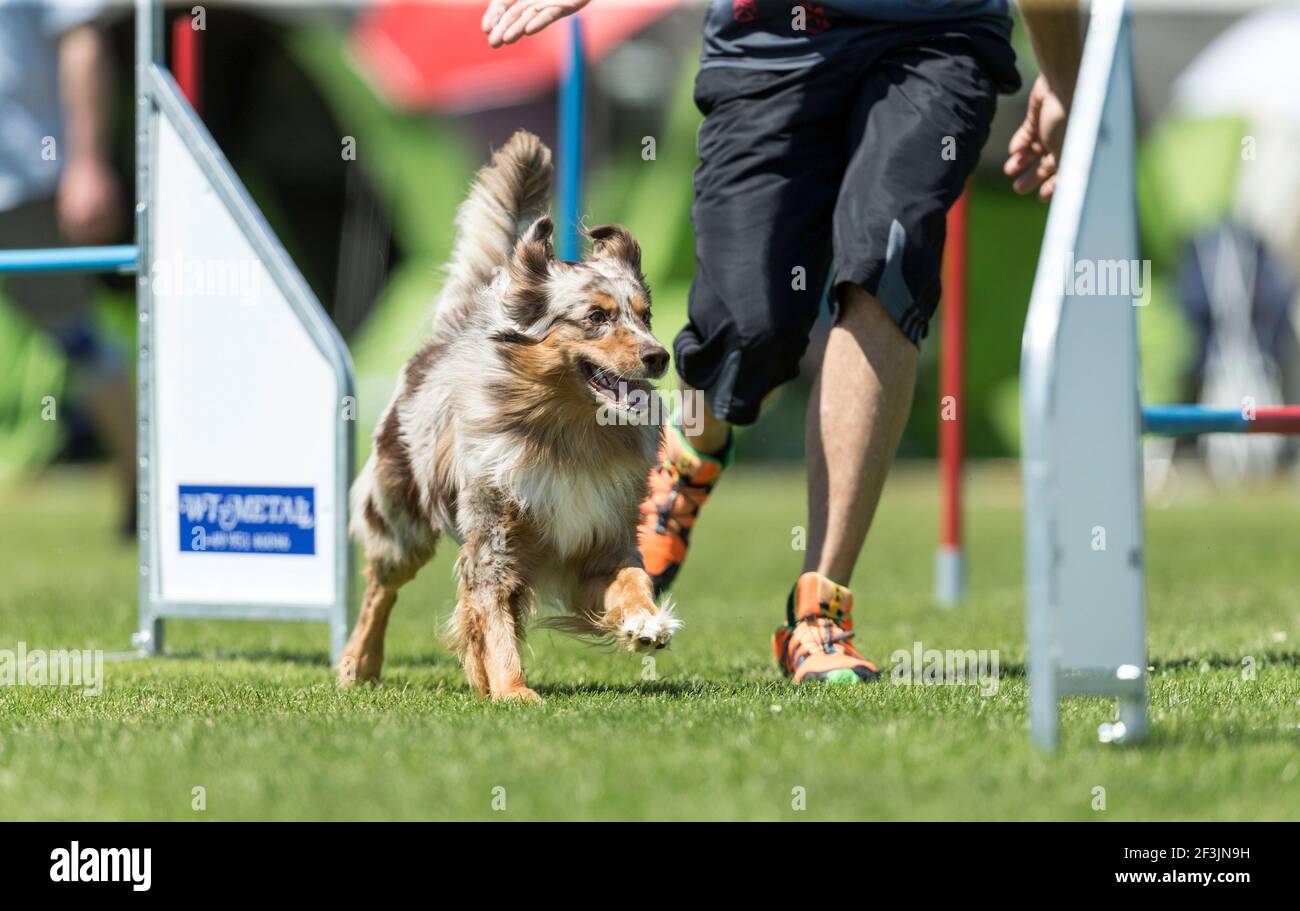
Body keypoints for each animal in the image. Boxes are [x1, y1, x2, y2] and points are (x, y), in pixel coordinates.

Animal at [335, 128, 681, 701]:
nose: (659, 356)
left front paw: (645, 622)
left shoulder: (600, 538)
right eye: (596, 316)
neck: (568, 433)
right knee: (380, 592)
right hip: (401, 523)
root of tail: (453, 332)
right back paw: (356, 663)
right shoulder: (493, 537)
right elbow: (492, 616)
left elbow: (633, 579)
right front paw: (515, 690)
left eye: (645, 315)